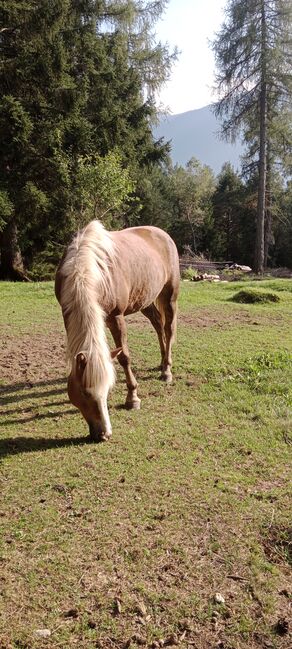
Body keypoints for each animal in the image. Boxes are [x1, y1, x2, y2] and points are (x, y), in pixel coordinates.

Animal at [53, 219, 179, 440]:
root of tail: (163, 235)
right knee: (158, 326)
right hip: (146, 301)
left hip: (169, 296)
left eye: (107, 389)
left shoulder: (116, 317)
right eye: (84, 392)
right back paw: (162, 363)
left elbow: (124, 357)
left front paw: (133, 398)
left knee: (168, 329)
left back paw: (167, 371)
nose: (104, 433)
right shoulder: (67, 314)